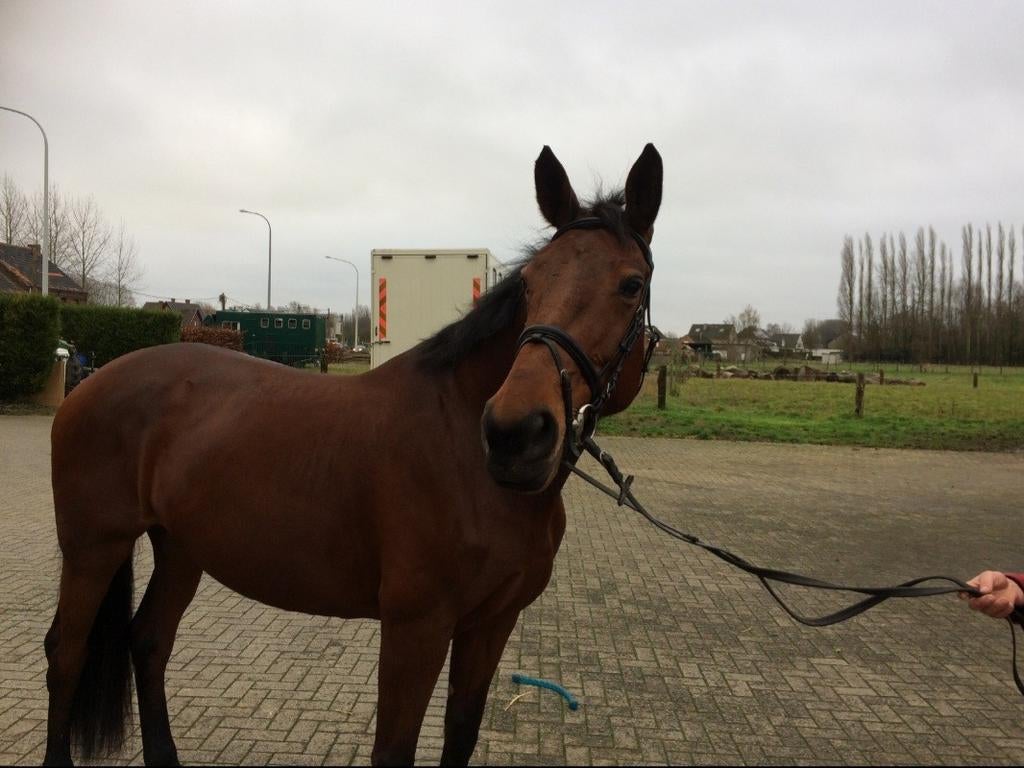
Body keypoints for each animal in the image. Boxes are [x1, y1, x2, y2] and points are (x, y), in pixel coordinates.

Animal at [42, 143, 663, 766]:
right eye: (530, 284)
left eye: (631, 285)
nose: (516, 432)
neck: (463, 447)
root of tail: (89, 384)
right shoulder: (415, 627)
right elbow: (394, 748)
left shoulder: (492, 622)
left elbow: (460, 732)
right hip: (93, 546)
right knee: (65, 654)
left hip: (180, 548)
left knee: (148, 642)